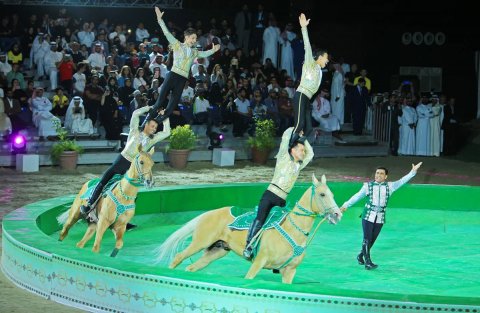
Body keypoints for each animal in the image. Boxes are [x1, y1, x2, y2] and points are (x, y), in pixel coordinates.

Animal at [157, 173, 342, 282]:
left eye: (332, 194)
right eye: (322, 194)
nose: (337, 215)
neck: (292, 230)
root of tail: (208, 214)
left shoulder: (289, 271)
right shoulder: (259, 262)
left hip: (216, 250)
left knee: (191, 267)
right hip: (200, 243)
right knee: (178, 257)